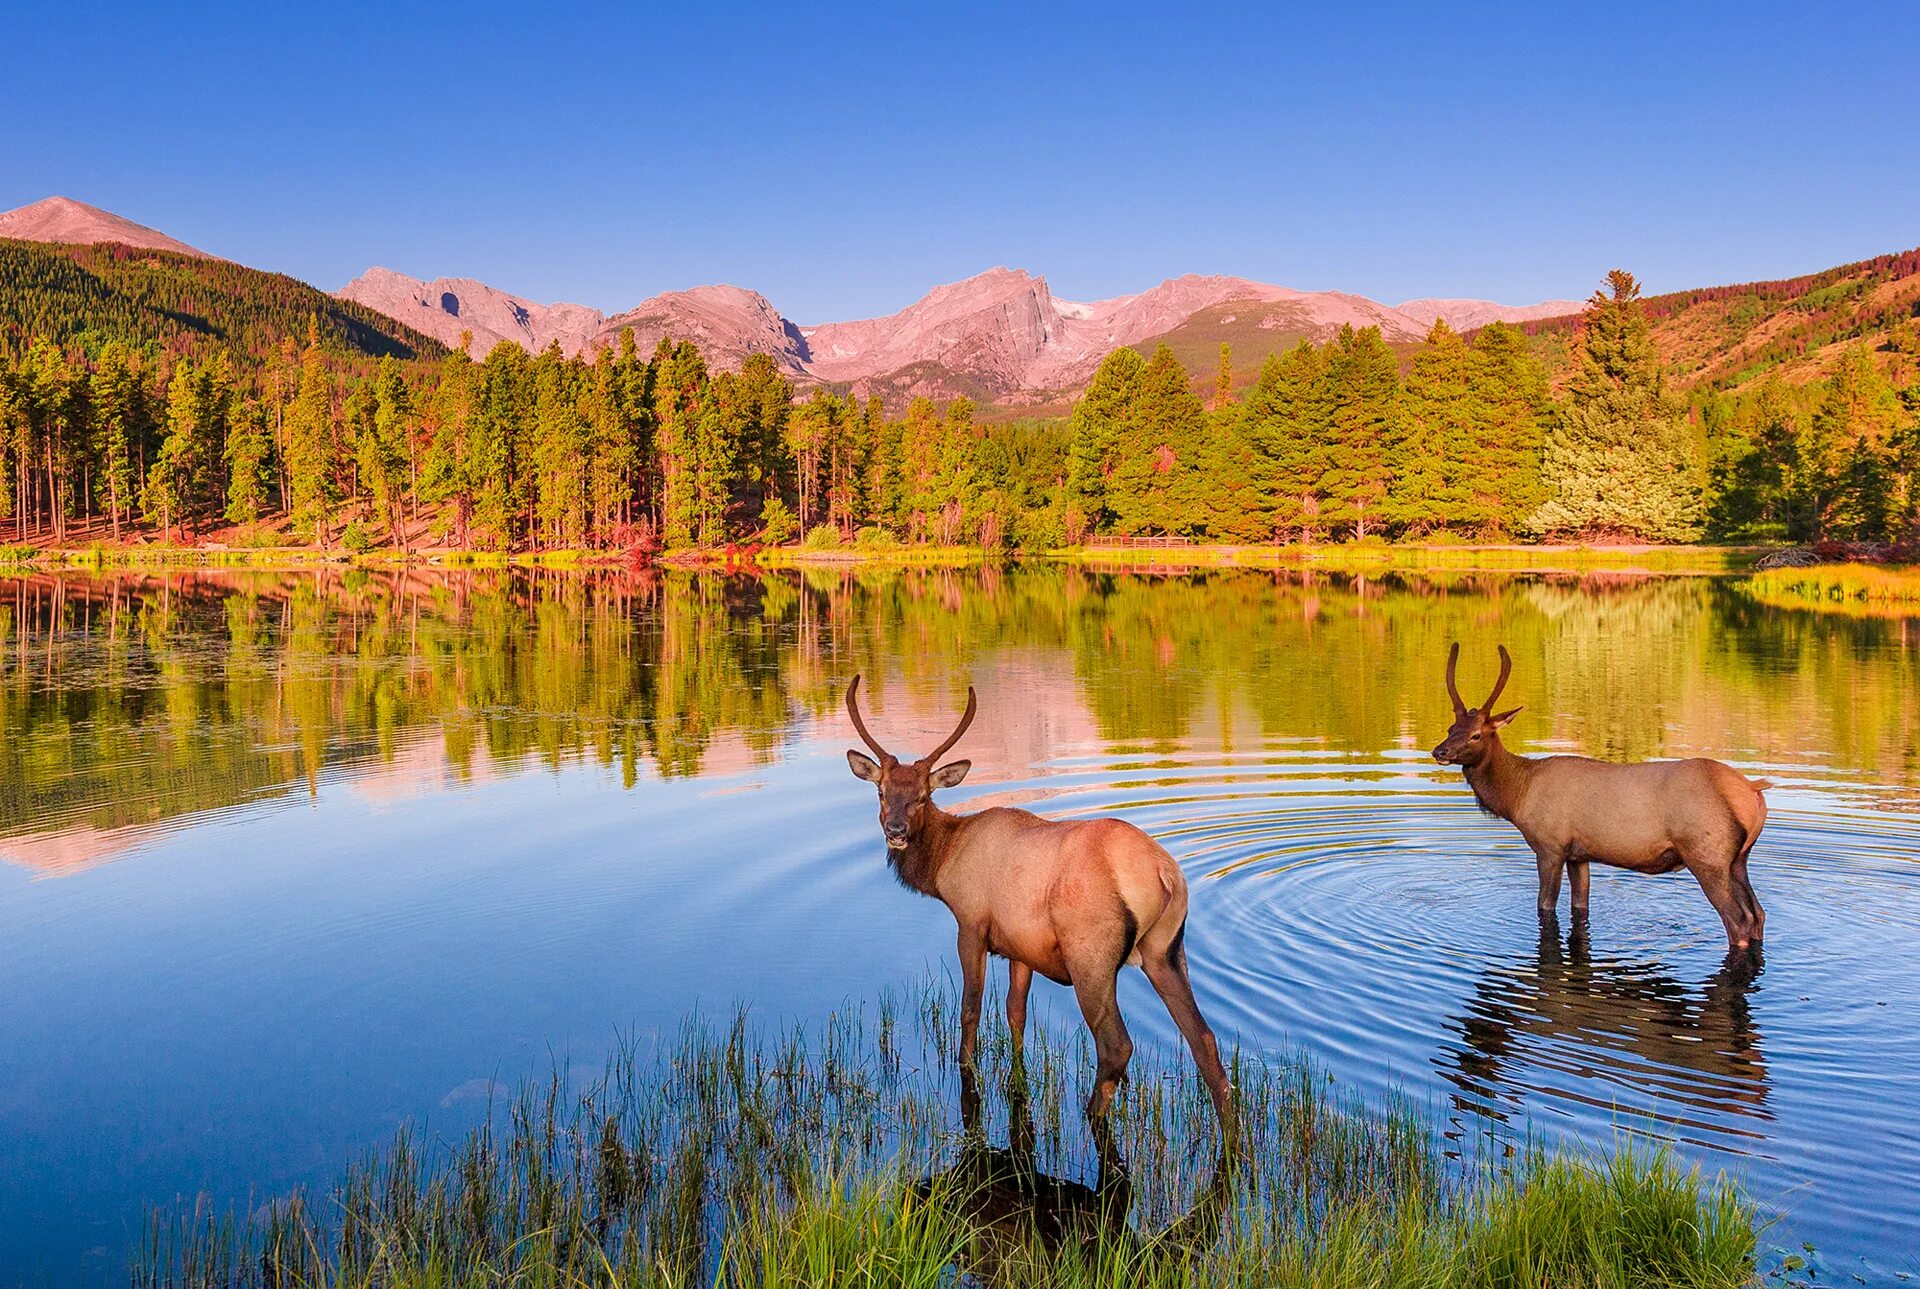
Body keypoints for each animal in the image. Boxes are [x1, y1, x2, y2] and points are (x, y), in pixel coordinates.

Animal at [844, 676, 1236, 1137]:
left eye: (923, 796)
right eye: (881, 791)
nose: (897, 831)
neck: (943, 863)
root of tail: (1165, 874)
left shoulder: (971, 923)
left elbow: (970, 1009)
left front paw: (967, 1072)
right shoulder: (1020, 946)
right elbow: (1016, 1014)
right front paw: (1015, 1079)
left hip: (1091, 955)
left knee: (1116, 1045)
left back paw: (1091, 1117)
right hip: (1167, 950)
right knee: (1205, 1039)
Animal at [1436, 641, 1774, 948]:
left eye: (1477, 734)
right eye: (1451, 728)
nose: (1439, 751)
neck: (1518, 794)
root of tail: (1752, 792)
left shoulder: (1549, 845)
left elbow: (1545, 906)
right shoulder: (1579, 854)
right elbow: (1580, 906)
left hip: (1706, 854)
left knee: (1738, 920)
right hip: (1738, 859)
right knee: (1757, 913)